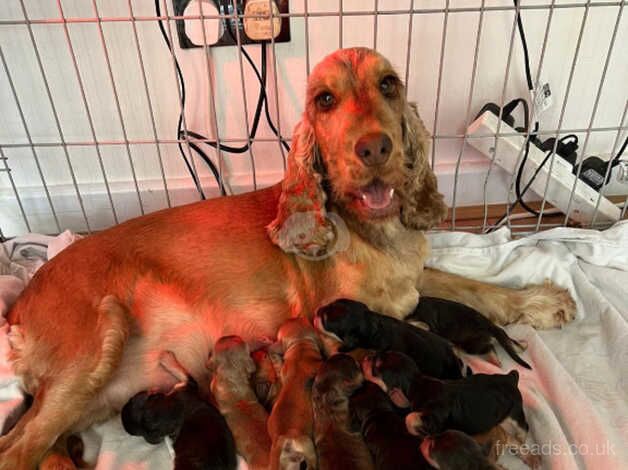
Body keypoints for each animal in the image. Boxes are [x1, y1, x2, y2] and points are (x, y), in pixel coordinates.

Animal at [364, 350, 528, 438]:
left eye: (375, 368)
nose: (366, 357)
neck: (417, 383)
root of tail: (511, 378)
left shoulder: (433, 416)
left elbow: (410, 417)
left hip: (515, 411)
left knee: (523, 428)